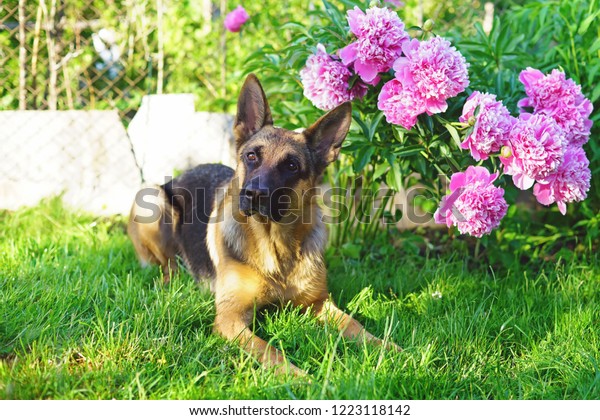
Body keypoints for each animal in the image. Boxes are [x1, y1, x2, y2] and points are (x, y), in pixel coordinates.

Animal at [127, 74, 398, 374]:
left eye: (291, 165)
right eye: (252, 157)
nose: (254, 194)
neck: (276, 248)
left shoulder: (319, 303)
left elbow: (355, 324)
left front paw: (389, 349)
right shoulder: (230, 319)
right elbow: (270, 351)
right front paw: (299, 376)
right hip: (152, 199)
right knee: (166, 266)